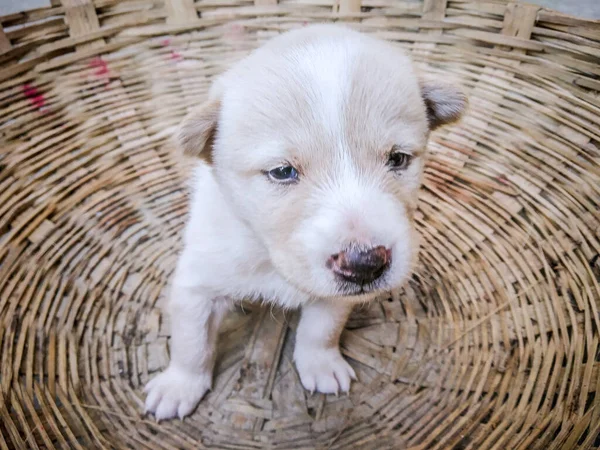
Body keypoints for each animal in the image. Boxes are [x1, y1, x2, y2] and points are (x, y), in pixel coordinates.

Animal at [143, 23, 466, 422]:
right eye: (282, 172)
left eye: (398, 159)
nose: (365, 265)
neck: (269, 257)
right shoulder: (197, 284)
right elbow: (192, 341)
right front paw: (179, 385)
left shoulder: (336, 297)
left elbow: (320, 330)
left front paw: (320, 363)